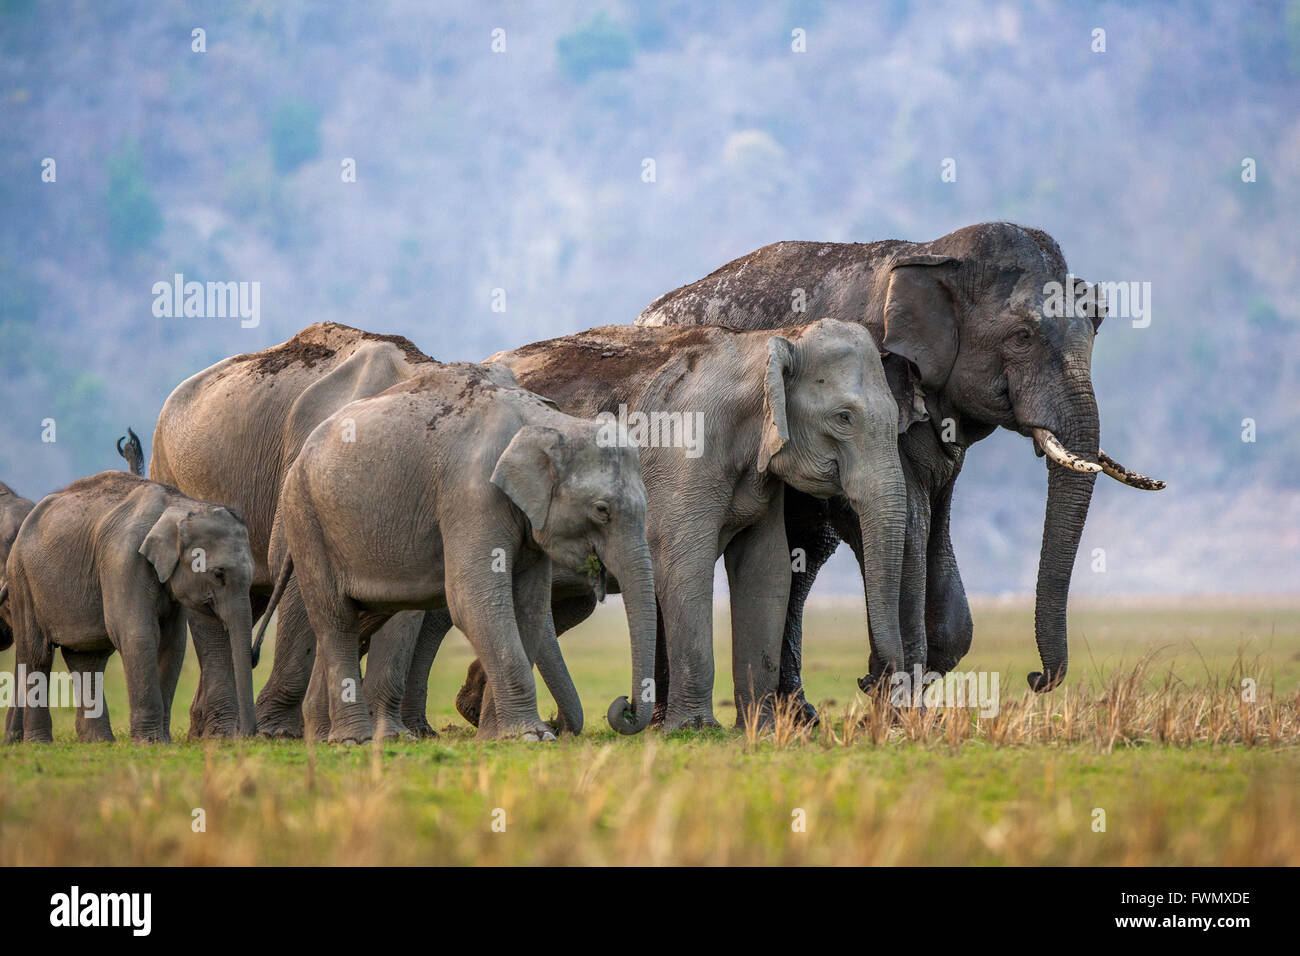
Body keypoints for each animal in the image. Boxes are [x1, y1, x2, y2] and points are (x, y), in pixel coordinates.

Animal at [1, 476, 257, 743]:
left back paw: (100, 742)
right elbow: (138, 634)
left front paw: (161, 741)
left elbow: (173, 643)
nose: (243, 735)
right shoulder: (123, 560)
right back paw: (40, 741)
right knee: (37, 654)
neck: (181, 504)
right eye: (218, 574)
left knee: (87, 658)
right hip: (22, 579)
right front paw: (150, 743)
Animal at [254, 361, 660, 743]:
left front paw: (499, 737)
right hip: (306, 517)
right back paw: (352, 739)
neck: (544, 422)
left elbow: (527, 606)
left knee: (362, 614)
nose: (623, 705)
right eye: (601, 509)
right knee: (335, 616)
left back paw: (327, 736)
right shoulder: (472, 494)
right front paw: (530, 735)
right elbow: (475, 600)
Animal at [639, 222, 1170, 717]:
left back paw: (800, 717)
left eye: (1097, 325)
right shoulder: (876, 388)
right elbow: (903, 523)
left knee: (805, 550)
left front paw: (892, 695)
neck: (935, 255)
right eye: (1021, 336)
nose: (1035, 678)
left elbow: (936, 531)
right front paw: (896, 709)